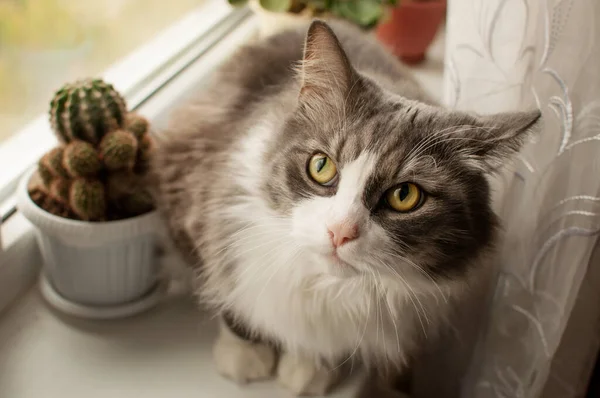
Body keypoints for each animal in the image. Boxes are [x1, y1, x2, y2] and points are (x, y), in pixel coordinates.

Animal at [149, 17, 540, 394]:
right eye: (321, 166)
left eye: (405, 196)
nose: (340, 231)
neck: (325, 285)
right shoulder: (196, 203)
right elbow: (232, 297)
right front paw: (245, 355)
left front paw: (311, 369)